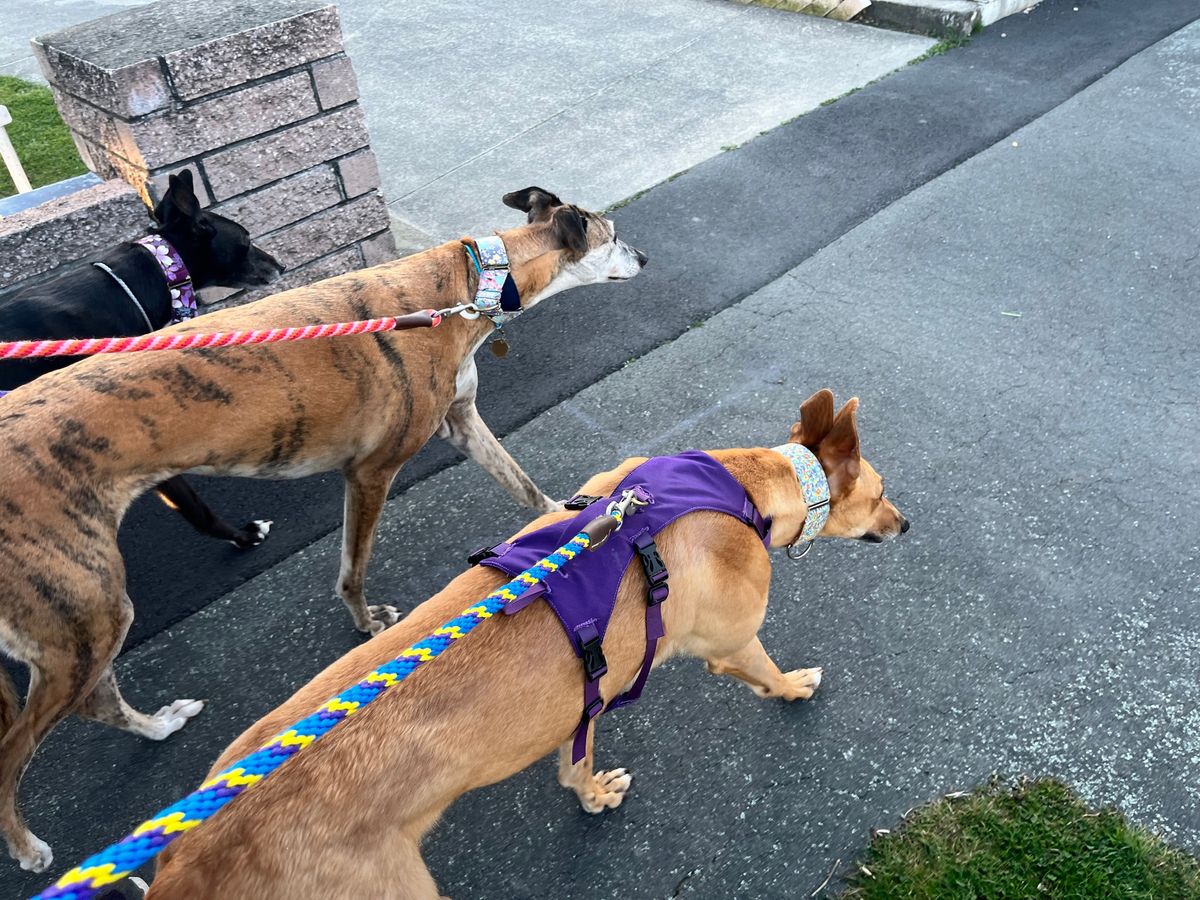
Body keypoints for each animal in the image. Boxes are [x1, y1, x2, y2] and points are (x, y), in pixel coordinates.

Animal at [145, 391, 902, 897]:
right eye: (880, 493)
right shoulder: (735, 642)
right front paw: (794, 687)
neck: (744, 486)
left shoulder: (582, 702)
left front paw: (591, 795)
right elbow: (767, 672)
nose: (907, 524)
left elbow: (575, 763)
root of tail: (186, 859)